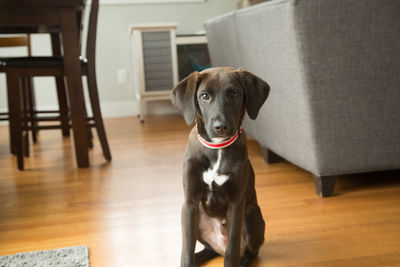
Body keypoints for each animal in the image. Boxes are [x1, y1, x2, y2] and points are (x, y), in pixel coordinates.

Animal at [171, 67, 268, 267]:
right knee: (208, 249)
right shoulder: (190, 203)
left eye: (234, 94)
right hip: (196, 216)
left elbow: (232, 248)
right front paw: (188, 260)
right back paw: (200, 257)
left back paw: (244, 261)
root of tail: (219, 247)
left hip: (251, 214)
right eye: (204, 96)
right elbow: (187, 249)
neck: (217, 149)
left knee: (249, 251)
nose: (220, 126)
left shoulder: (236, 202)